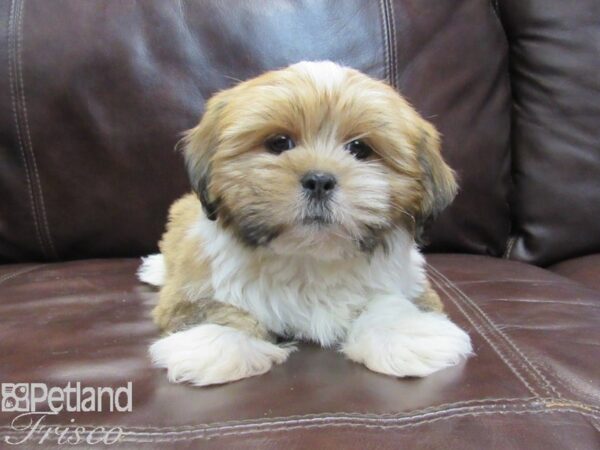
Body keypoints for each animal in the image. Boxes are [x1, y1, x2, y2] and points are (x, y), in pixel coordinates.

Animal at [138, 60, 472, 386]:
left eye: (359, 149)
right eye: (279, 143)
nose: (319, 180)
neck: (311, 257)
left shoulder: (406, 280)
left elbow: (391, 302)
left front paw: (403, 334)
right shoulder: (199, 283)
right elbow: (214, 308)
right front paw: (219, 342)